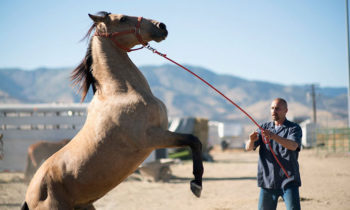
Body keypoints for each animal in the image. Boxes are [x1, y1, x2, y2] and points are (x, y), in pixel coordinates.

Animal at [21, 11, 204, 210]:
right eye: (123, 18)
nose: (161, 26)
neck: (121, 93)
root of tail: (30, 196)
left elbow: (195, 141)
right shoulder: (150, 137)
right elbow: (193, 140)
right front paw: (196, 184)